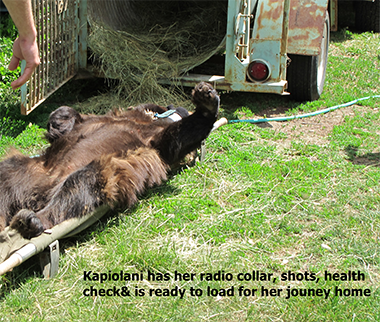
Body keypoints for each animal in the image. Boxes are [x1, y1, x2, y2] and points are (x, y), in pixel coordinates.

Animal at [0, 83, 220, 239]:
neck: (151, 119)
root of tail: (38, 195)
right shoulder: (106, 117)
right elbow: (70, 118)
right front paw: (58, 119)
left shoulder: (153, 143)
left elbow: (175, 140)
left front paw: (206, 102)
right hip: (32, 171)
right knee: (6, 175)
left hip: (97, 170)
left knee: (80, 184)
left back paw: (32, 221)